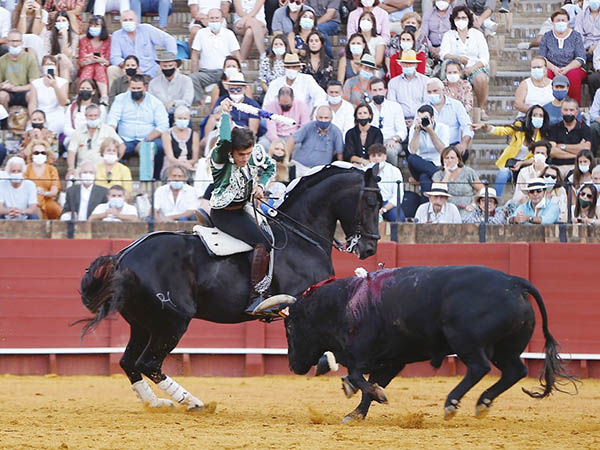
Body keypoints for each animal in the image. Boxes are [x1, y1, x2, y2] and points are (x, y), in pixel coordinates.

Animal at [79, 164, 382, 412]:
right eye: (370, 202)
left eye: (381, 203)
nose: (370, 247)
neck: (301, 237)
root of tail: (123, 256)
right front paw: (331, 365)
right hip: (172, 321)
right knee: (148, 364)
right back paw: (193, 402)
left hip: (143, 324)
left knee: (129, 363)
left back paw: (157, 403)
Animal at [276, 264, 576, 422]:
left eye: (289, 327)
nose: (293, 366)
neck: (345, 301)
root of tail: (515, 283)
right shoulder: (392, 360)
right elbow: (369, 383)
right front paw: (356, 413)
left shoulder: (362, 354)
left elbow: (359, 378)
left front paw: (374, 397)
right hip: (506, 348)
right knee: (515, 370)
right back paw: (482, 403)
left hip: (465, 340)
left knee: (479, 368)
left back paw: (451, 404)